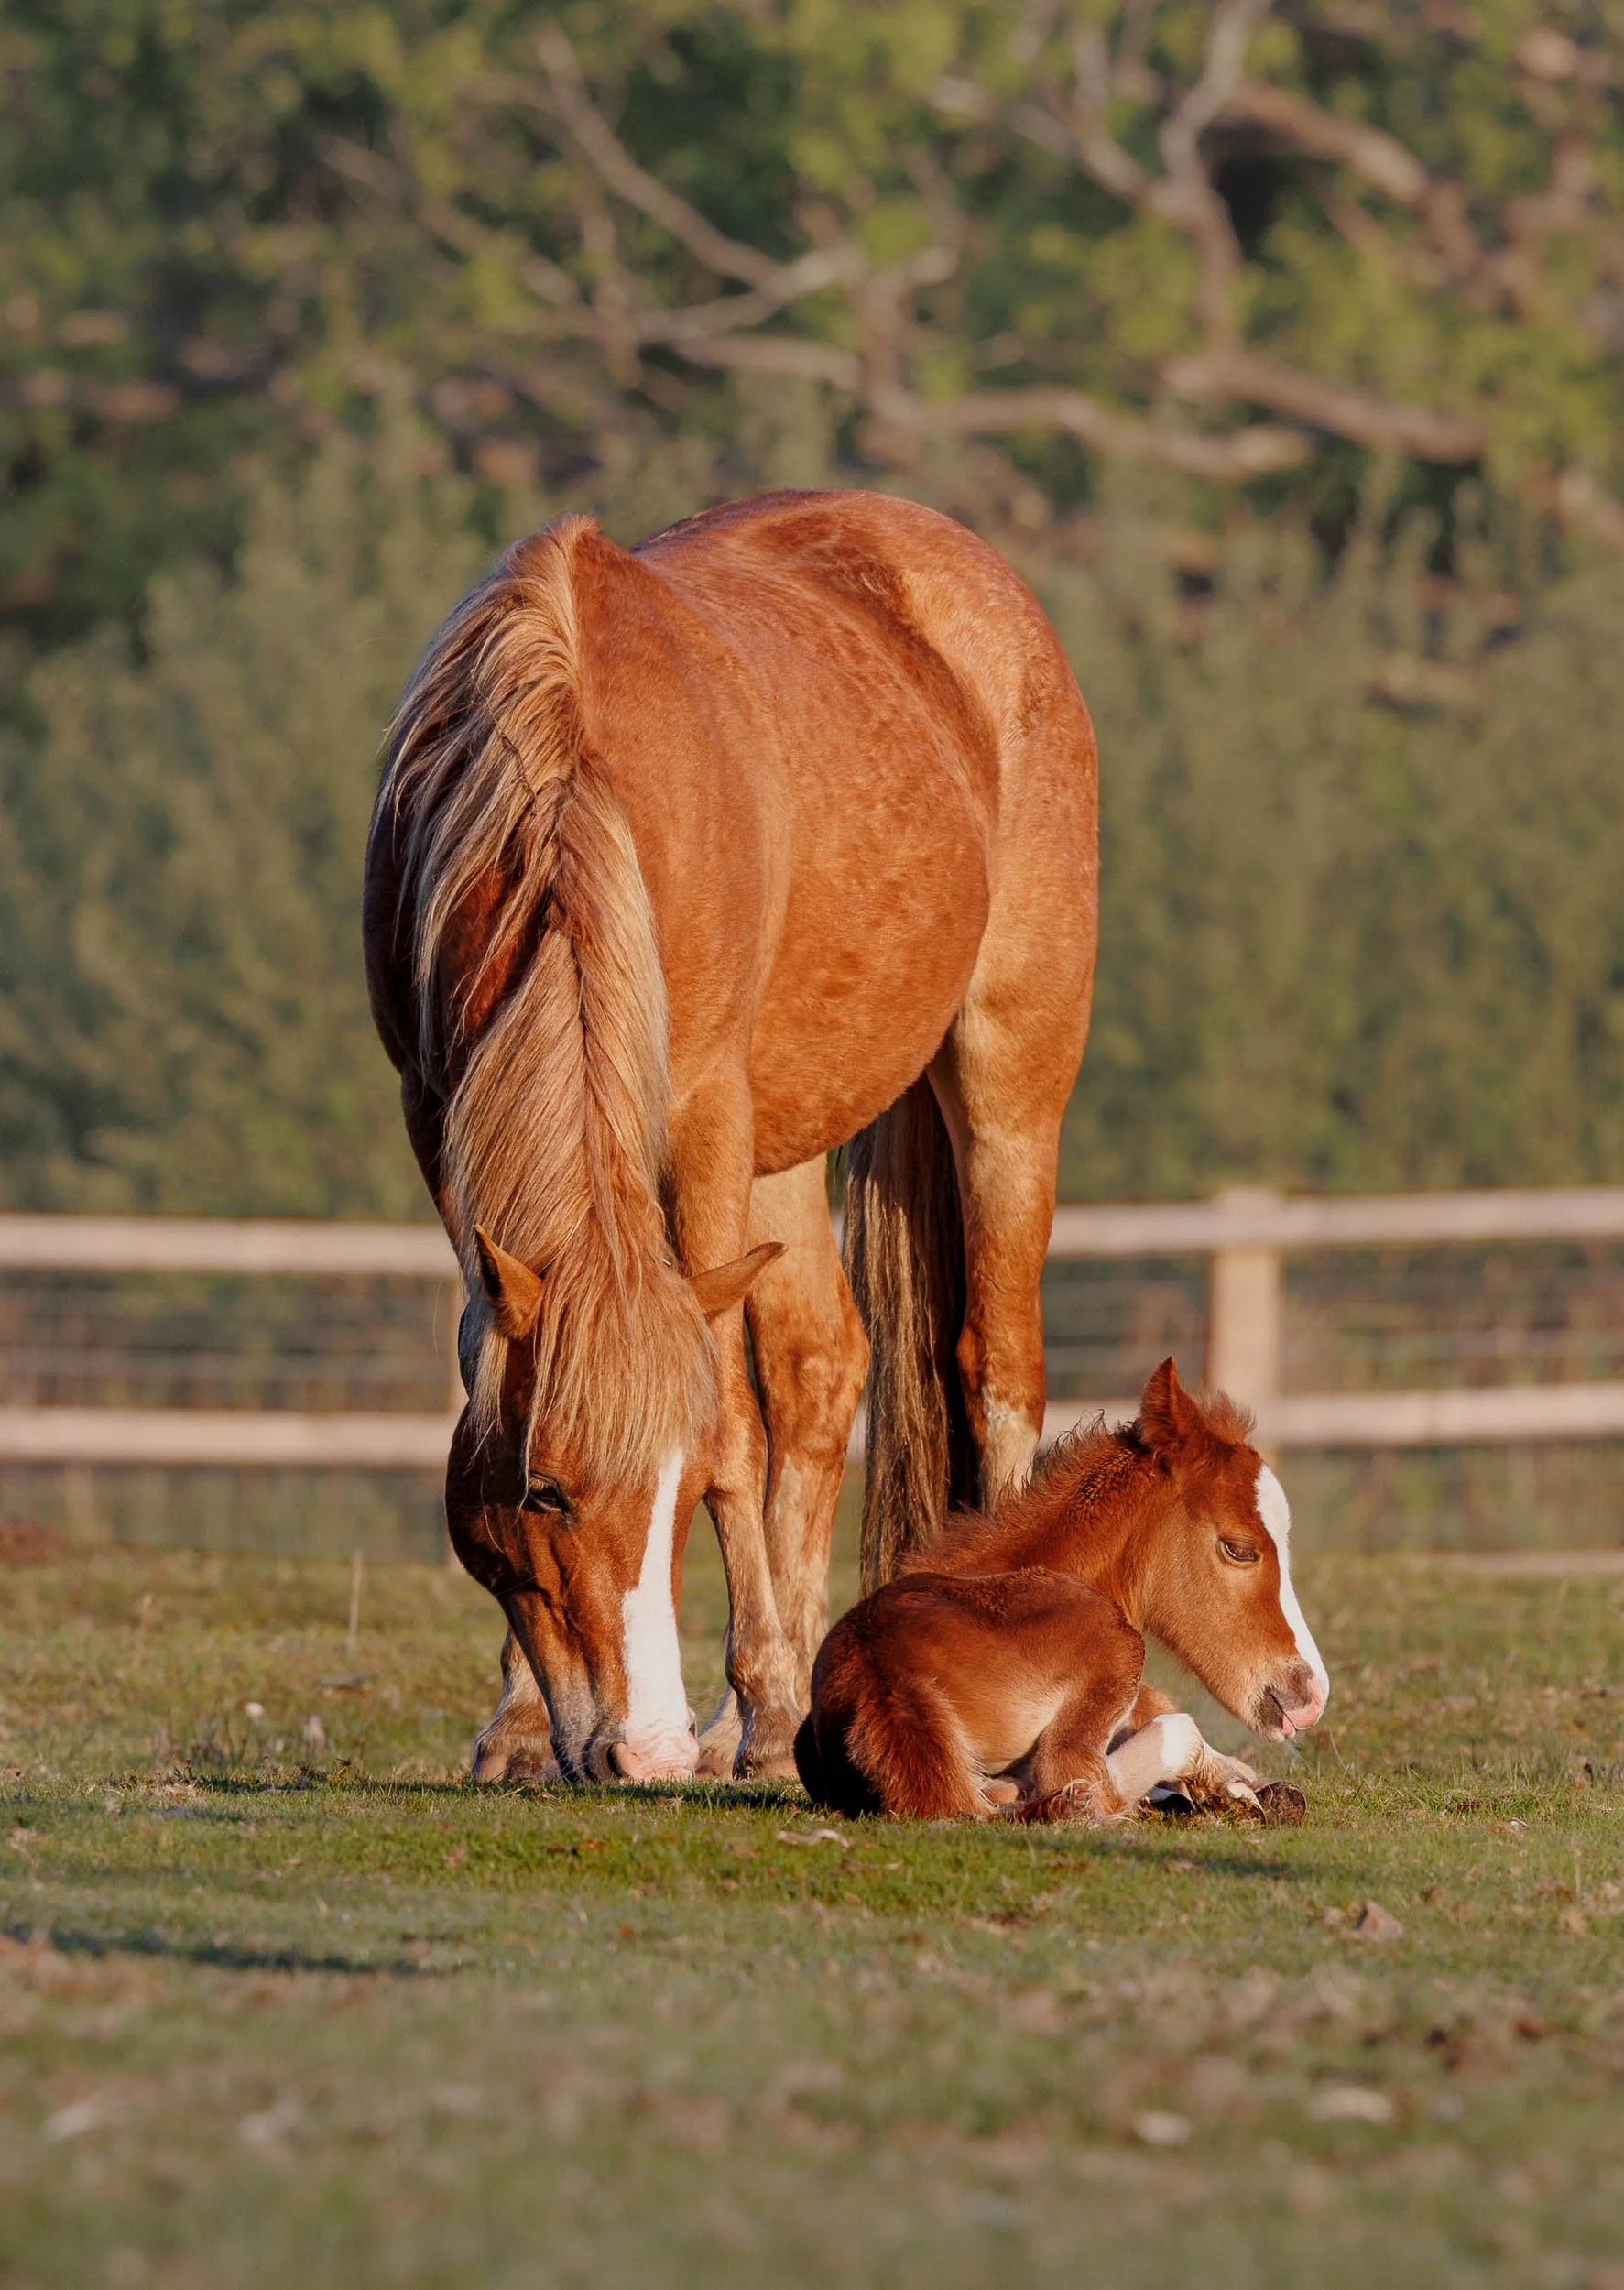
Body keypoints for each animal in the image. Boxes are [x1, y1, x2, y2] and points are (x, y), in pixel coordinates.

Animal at [362, 489, 1098, 1785]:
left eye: (684, 1485)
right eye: (544, 1492)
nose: (640, 1749)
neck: (567, 783)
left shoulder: (701, 1108)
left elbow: (737, 1415)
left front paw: (762, 1703)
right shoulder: (436, 1114)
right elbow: (490, 1362)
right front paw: (521, 1721)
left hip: (1007, 1081)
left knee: (997, 1367)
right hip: (785, 1143)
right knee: (824, 1365)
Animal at [795, 1358, 1329, 1821]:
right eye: (1239, 1549)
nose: (1313, 1693)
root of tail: (886, 1682)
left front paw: (1237, 1787)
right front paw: (1233, 1788)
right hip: (1118, 1644)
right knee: (1086, 1775)